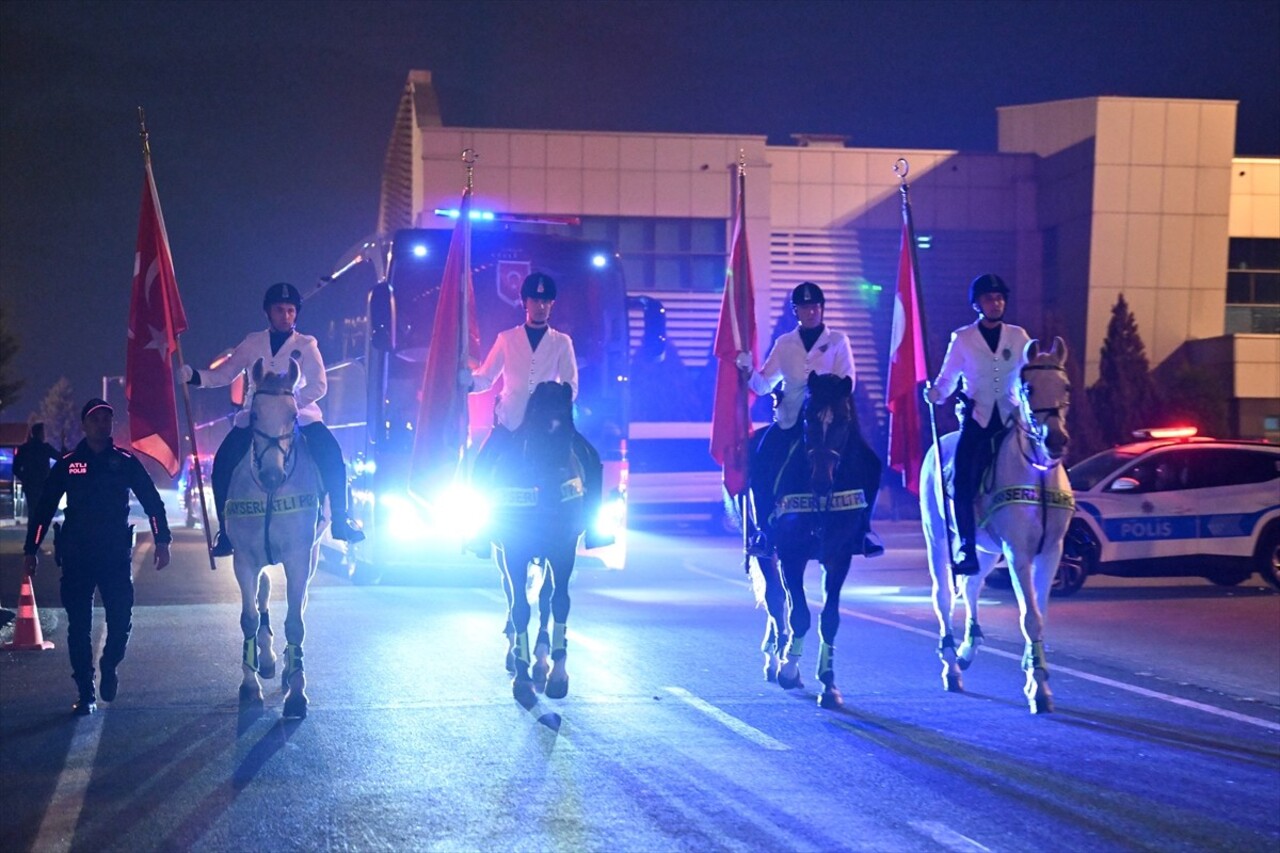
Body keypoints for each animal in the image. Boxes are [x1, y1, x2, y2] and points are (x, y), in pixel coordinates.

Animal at [226, 358, 322, 717]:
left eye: (293, 416)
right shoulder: (243, 560)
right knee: (264, 592)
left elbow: (295, 622)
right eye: (254, 415)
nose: (271, 475)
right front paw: (249, 683)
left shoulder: (298, 558)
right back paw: (266, 660)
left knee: (299, 602)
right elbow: (249, 618)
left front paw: (296, 691)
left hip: (313, 555)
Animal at [481, 379, 586, 701]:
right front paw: (522, 676)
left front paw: (557, 673)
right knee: (511, 594)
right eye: (534, 436)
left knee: (544, 598)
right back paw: (517, 654)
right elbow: (519, 608)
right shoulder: (514, 552)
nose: (553, 507)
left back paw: (541, 660)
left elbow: (559, 603)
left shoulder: (564, 550)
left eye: (569, 434)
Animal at [747, 368, 880, 706]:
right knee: (776, 599)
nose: (821, 480)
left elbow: (829, 619)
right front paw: (788, 669)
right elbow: (799, 614)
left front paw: (829, 684)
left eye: (844, 421)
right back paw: (774, 658)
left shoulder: (838, 558)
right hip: (765, 551)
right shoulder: (790, 556)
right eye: (807, 418)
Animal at [921, 338, 1070, 712]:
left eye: (1065, 387)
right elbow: (1029, 616)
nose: (1056, 441)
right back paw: (951, 665)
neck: (1038, 475)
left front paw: (1035, 674)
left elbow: (1040, 614)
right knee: (944, 596)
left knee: (972, 587)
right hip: (937, 540)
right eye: (1029, 388)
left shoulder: (1051, 553)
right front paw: (1038, 688)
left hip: (985, 550)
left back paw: (967, 649)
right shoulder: (1018, 553)